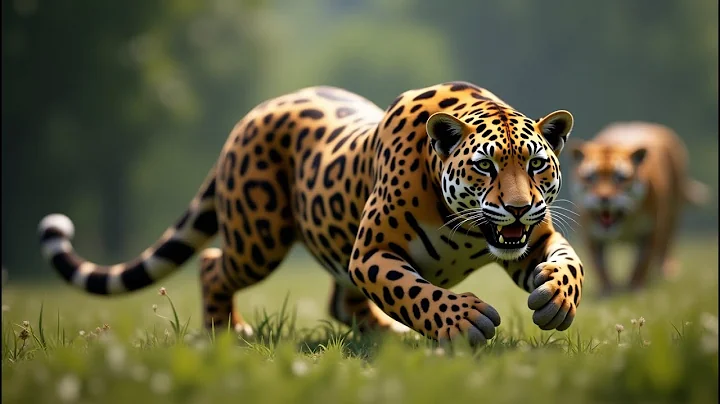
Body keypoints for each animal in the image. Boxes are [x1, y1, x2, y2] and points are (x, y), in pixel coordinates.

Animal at [38, 81, 585, 345]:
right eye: (484, 166)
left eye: (536, 164)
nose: (517, 208)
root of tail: (251, 115)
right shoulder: (370, 253)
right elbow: (411, 291)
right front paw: (464, 319)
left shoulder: (534, 238)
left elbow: (569, 261)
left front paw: (556, 299)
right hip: (259, 239)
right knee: (213, 263)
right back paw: (225, 333)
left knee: (342, 302)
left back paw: (386, 336)